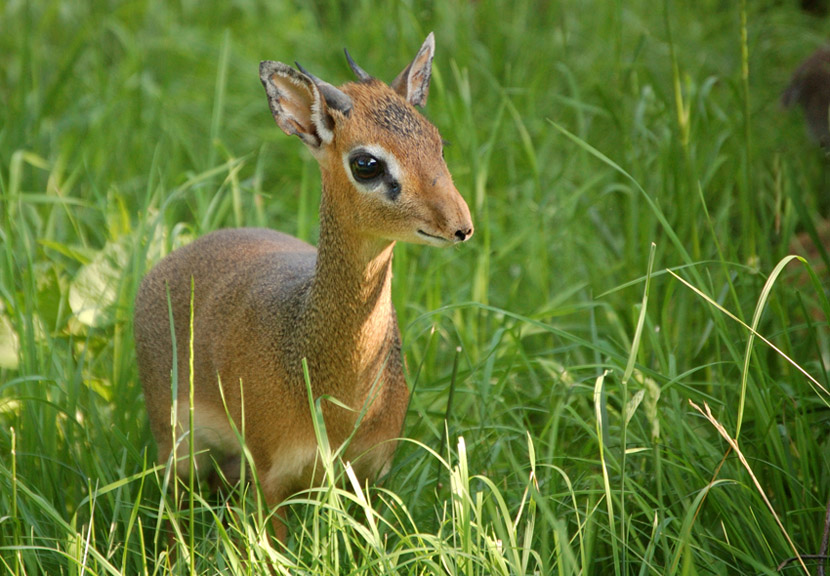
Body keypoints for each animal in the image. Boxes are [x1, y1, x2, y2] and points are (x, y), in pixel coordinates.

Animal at [135, 32, 474, 540]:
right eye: (366, 163)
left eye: (438, 142)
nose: (460, 226)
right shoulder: (270, 478)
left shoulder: (368, 477)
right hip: (177, 452)